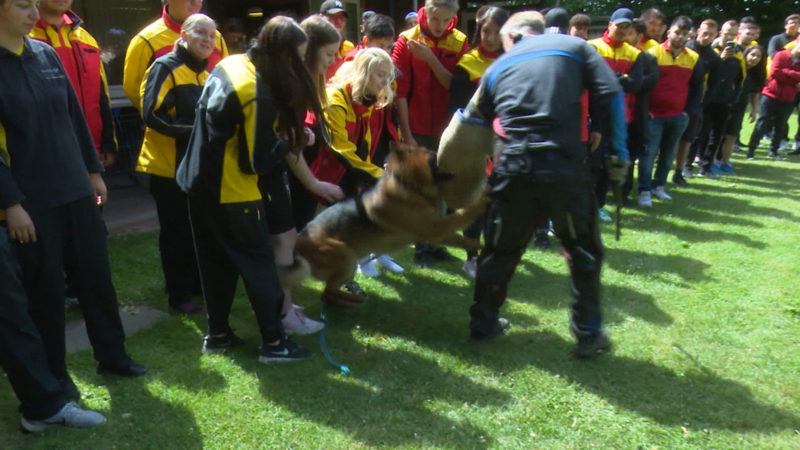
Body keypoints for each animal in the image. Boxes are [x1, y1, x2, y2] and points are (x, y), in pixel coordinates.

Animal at [296, 144, 490, 306]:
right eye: (434, 156)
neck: (409, 185)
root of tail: (297, 246)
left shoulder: (435, 231)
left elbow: (460, 237)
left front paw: (478, 245)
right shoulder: (435, 228)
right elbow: (464, 214)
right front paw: (484, 199)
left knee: (328, 293)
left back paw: (350, 299)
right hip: (345, 254)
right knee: (327, 291)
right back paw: (353, 299)